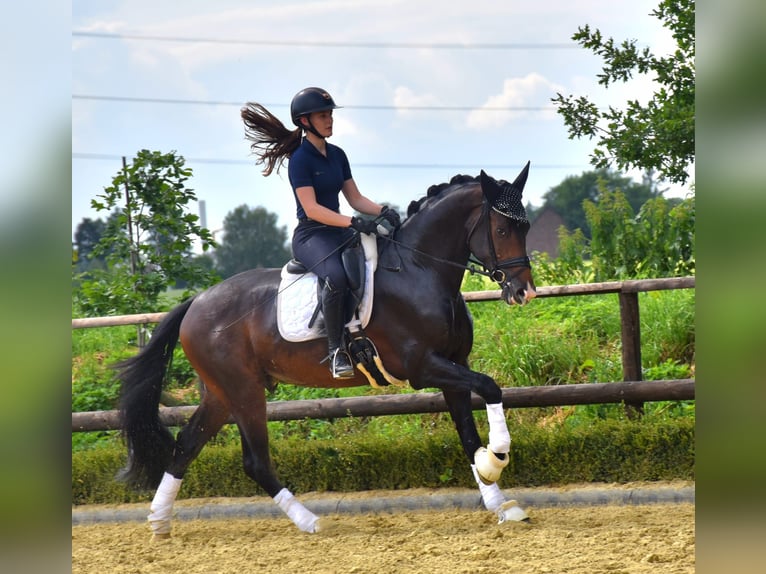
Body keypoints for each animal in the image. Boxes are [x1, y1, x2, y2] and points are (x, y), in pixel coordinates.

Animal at [116, 164, 537, 536]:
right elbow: (490, 387)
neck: (420, 270)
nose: (524, 291)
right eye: (502, 228)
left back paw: (159, 522)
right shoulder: (423, 366)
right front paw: (496, 458)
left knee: (187, 446)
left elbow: (468, 433)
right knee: (255, 461)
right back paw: (310, 521)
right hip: (243, 390)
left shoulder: (453, 365)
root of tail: (195, 302)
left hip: (222, 393)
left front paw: (499, 500)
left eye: (526, 227)